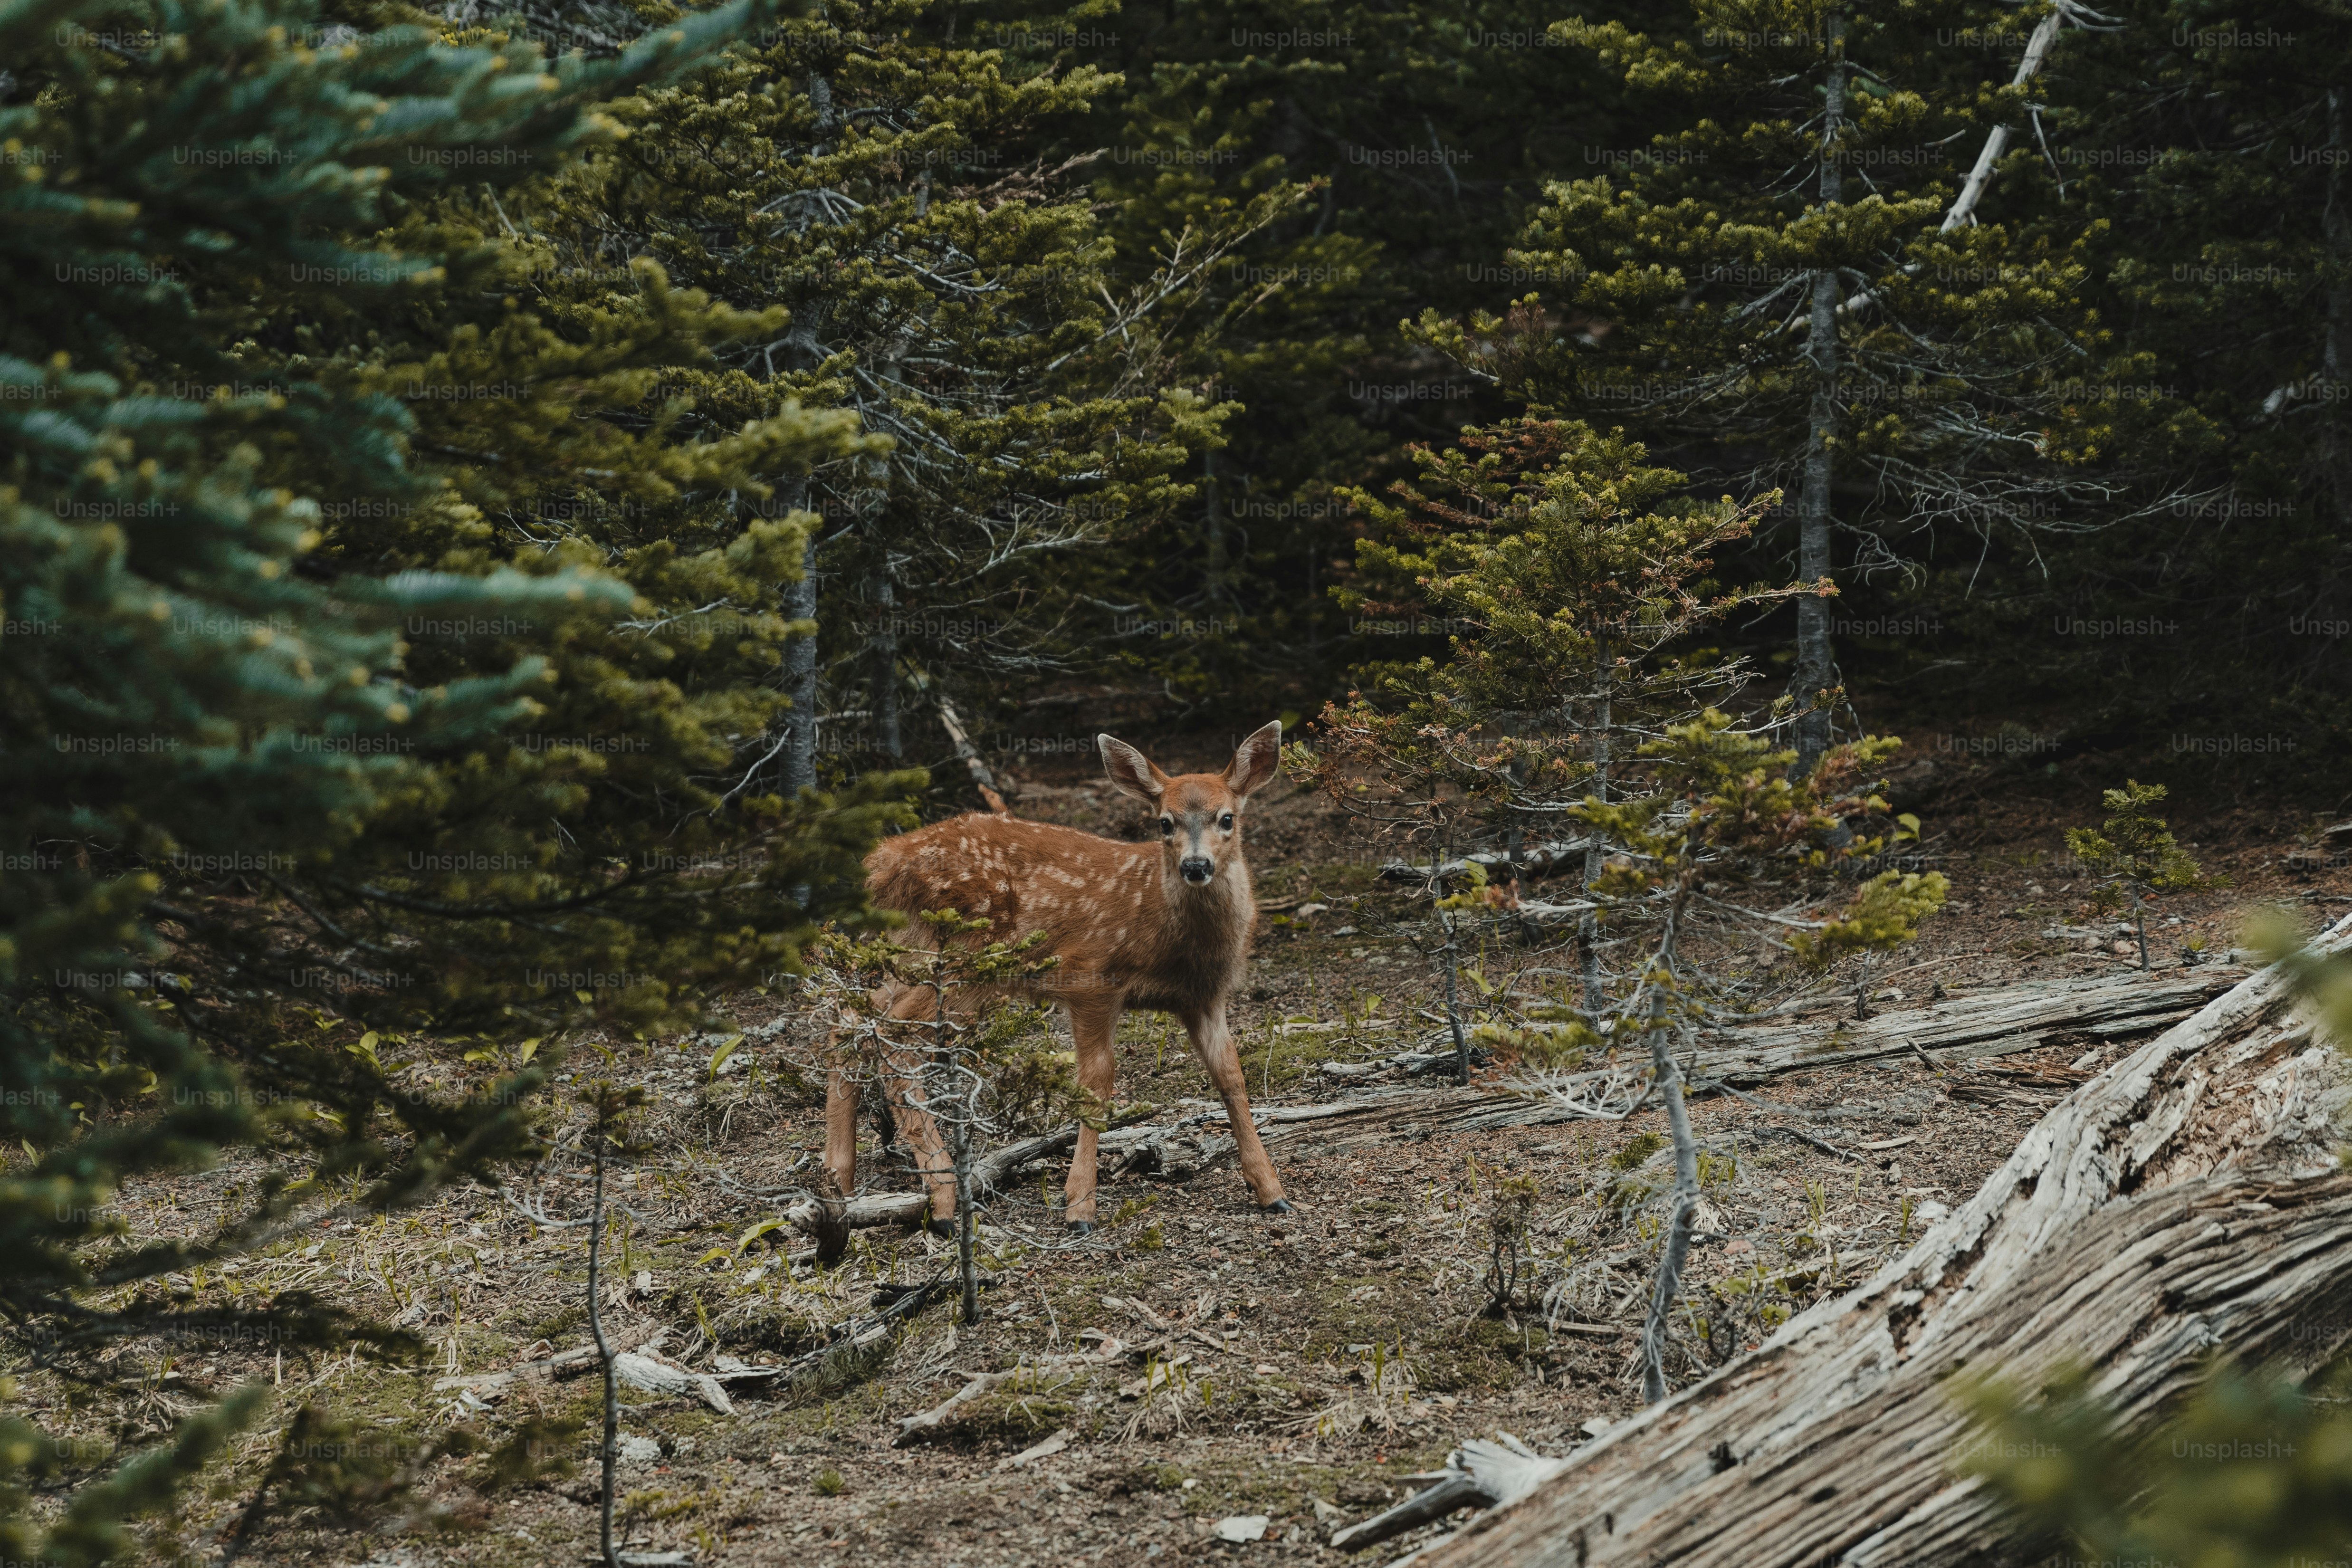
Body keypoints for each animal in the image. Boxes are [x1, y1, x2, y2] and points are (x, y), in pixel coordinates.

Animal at [821, 721, 1292, 1242]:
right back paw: (942, 1199)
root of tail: (881, 865)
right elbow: (1097, 1084)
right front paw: (1080, 1205)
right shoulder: (1090, 979)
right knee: (893, 1031)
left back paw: (839, 1180)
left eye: (1227, 818)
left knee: (851, 1015)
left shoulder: (1204, 998)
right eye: (1165, 823)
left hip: (918, 950)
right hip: (966, 959)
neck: (1168, 935)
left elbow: (1231, 1077)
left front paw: (1271, 1189)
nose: (1195, 866)